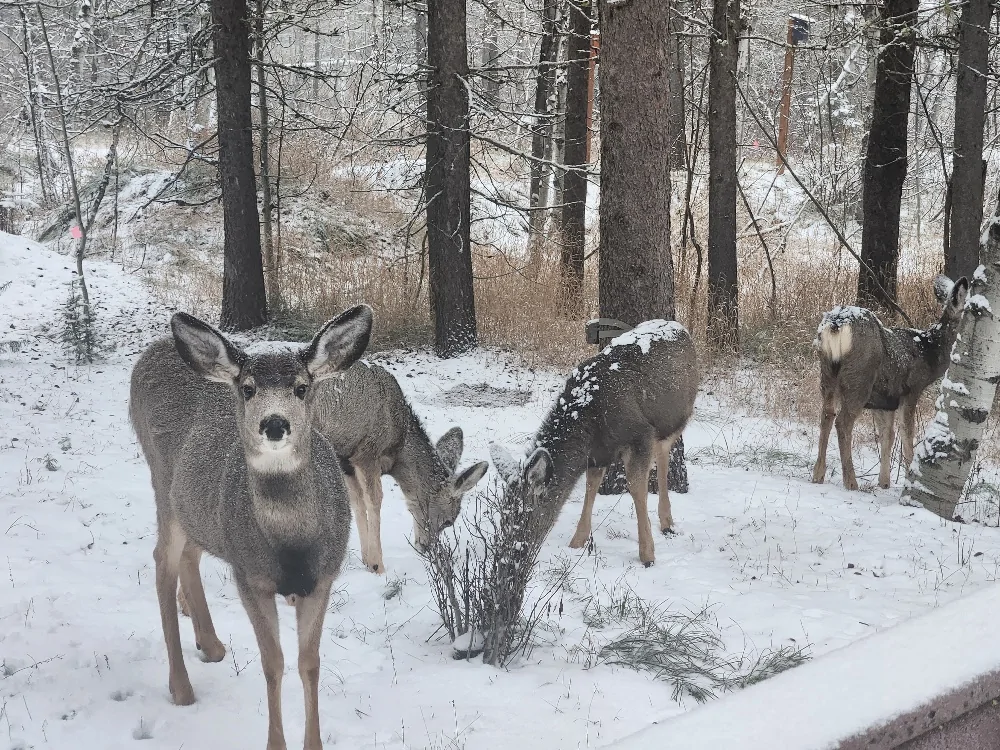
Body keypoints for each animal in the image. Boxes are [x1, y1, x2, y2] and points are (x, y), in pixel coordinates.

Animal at [129, 304, 373, 750]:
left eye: (301, 388)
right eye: (247, 388)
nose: (274, 424)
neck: (291, 545)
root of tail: (154, 349)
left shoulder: (324, 577)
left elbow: (309, 662)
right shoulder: (249, 576)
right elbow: (273, 662)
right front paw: (276, 743)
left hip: (199, 510)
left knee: (188, 554)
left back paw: (210, 645)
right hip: (163, 484)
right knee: (162, 562)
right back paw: (181, 686)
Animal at [489, 320, 698, 567]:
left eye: (524, 516)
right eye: (502, 516)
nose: (507, 556)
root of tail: (678, 326)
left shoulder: (641, 436)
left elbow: (637, 489)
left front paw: (647, 555)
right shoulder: (598, 453)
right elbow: (591, 488)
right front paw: (577, 542)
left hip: (676, 419)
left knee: (664, 457)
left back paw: (666, 523)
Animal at [811, 274, 969, 491]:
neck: (927, 352)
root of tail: (837, 323)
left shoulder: (884, 399)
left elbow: (887, 435)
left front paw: (884, 482)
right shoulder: (910, 390)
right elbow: (907, 433)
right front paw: (909, 478)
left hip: (827, 372)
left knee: (826, 414)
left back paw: (817, 475)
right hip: (860, 377)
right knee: (842, 422)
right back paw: (851, 482)